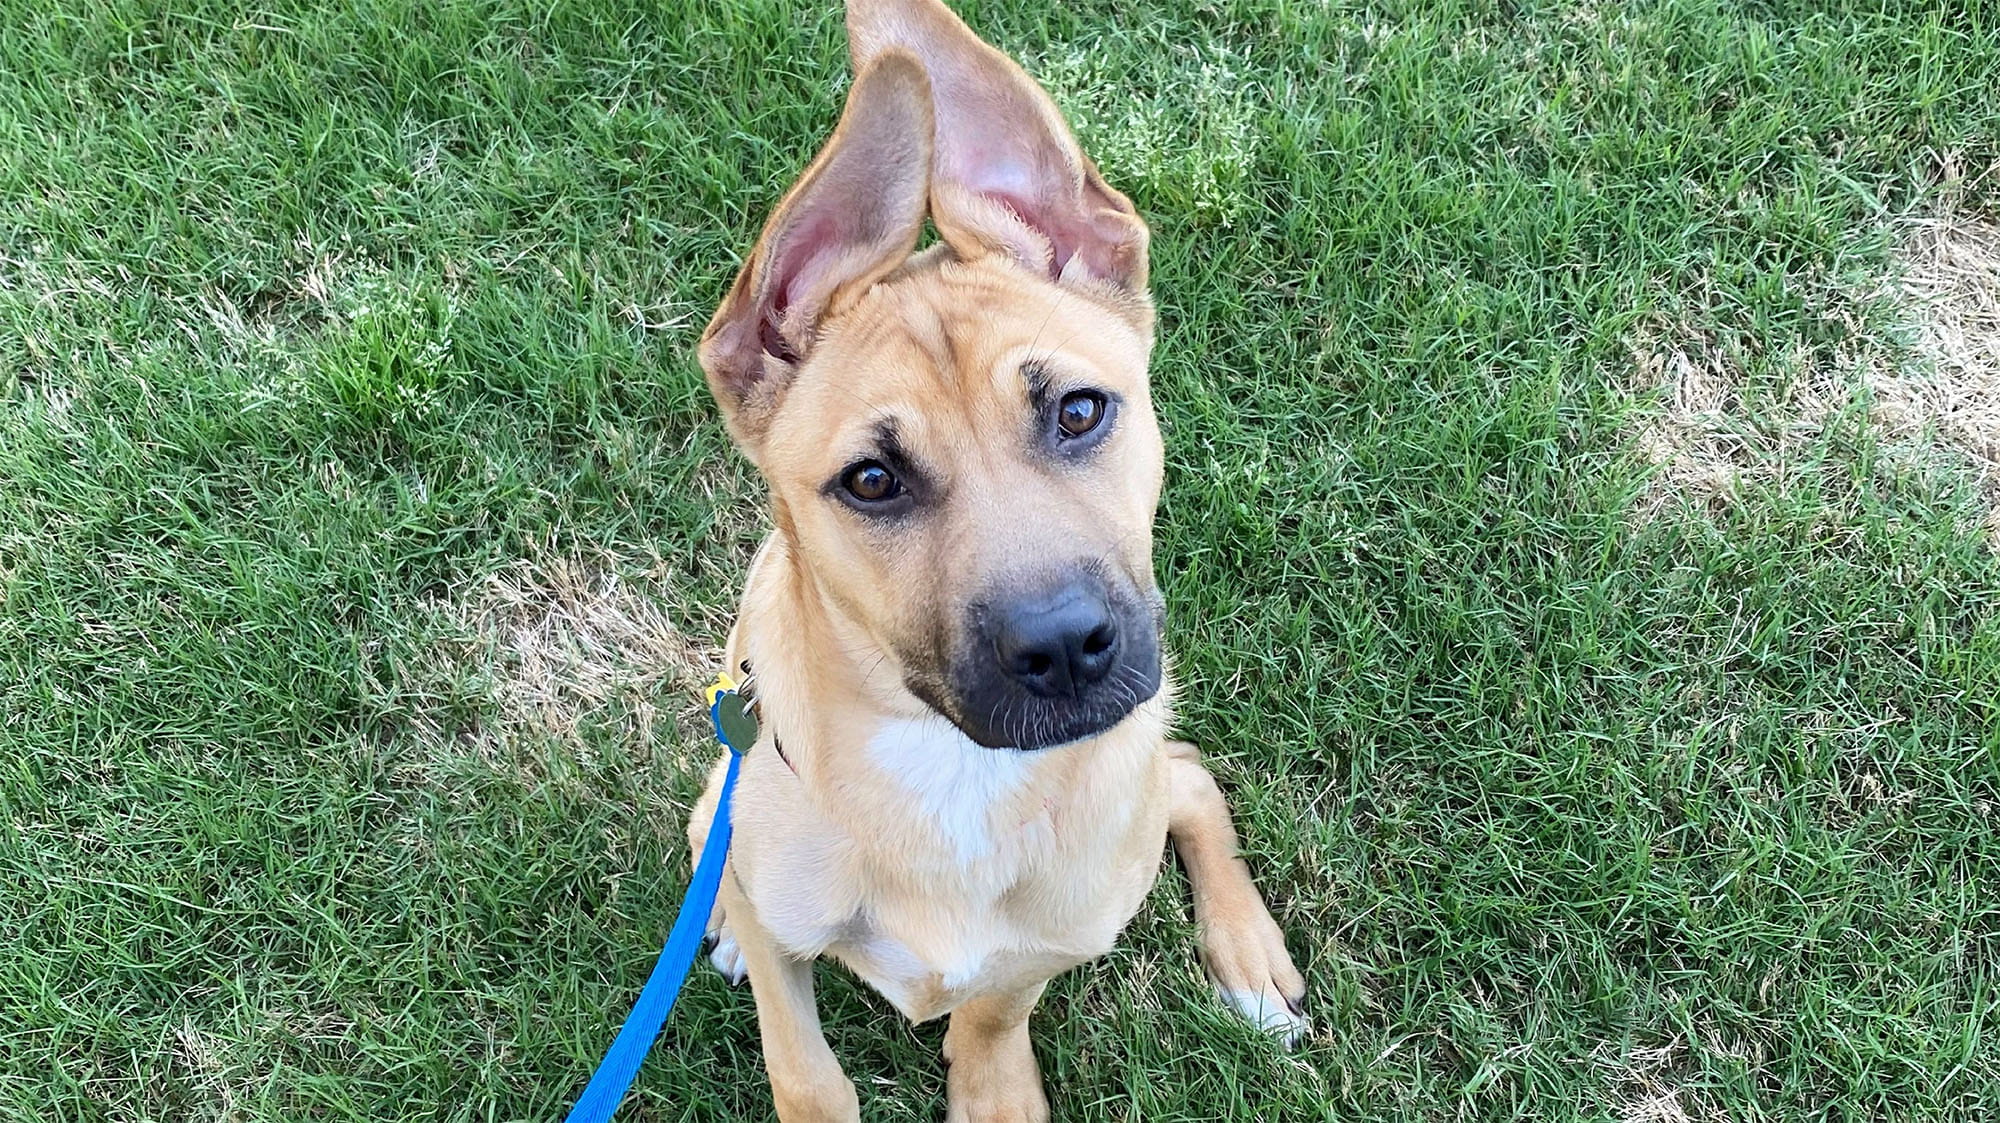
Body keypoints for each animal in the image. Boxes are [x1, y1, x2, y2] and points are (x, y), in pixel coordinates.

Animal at [692, 0, 1312, 1111]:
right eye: (871, 480)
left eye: (1079, 410)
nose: (1065, 649)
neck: (954, 776)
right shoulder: (781, 940)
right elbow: (805, 1072)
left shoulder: (1053, 938)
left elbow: (994, 1009)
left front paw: (993, 1084)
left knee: (1186, 774)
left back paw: (1247, 957)